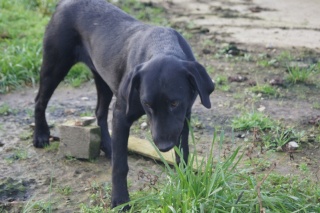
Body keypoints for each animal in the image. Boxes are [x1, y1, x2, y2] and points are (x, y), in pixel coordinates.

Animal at [33, 0, 215, 208]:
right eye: (147, 104)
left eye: (175, 103)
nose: (163, 146)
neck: (162, 46)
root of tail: (64, 3)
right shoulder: (122, 115)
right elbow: (120, 166)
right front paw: (120, 200)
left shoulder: (184, 119)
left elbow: (183, 155)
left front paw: (185, 184)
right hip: (55, 65)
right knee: (39, 101)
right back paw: (40, 135)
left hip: (102, 80)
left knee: (100, 112)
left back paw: (108, 146)